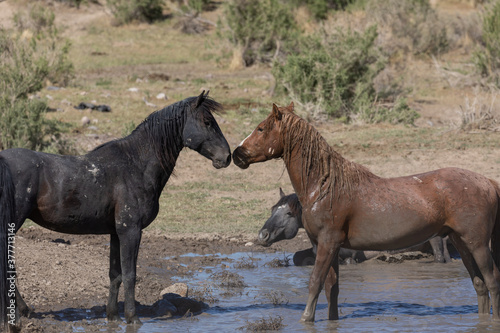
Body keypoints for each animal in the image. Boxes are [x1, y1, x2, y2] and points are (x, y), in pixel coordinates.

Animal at [0, 91, 230, 326]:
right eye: (207, 122)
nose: (227, 157)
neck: (136, 164)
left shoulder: (116, 233)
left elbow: (115, 274)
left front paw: (113, 315)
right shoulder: (131, 231)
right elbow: (130, 275)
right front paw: (133, 317)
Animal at [233, 102, 500, 322]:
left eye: (260, 128)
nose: (236, 154)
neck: (323, 186)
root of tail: (487, 181)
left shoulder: (328, 243)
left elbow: (315, 283)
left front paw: (306, 319)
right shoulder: (327, 246)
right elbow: (332, 288)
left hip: (477, 243)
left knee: (492, 281)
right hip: (461, 242)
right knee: (479, 285)